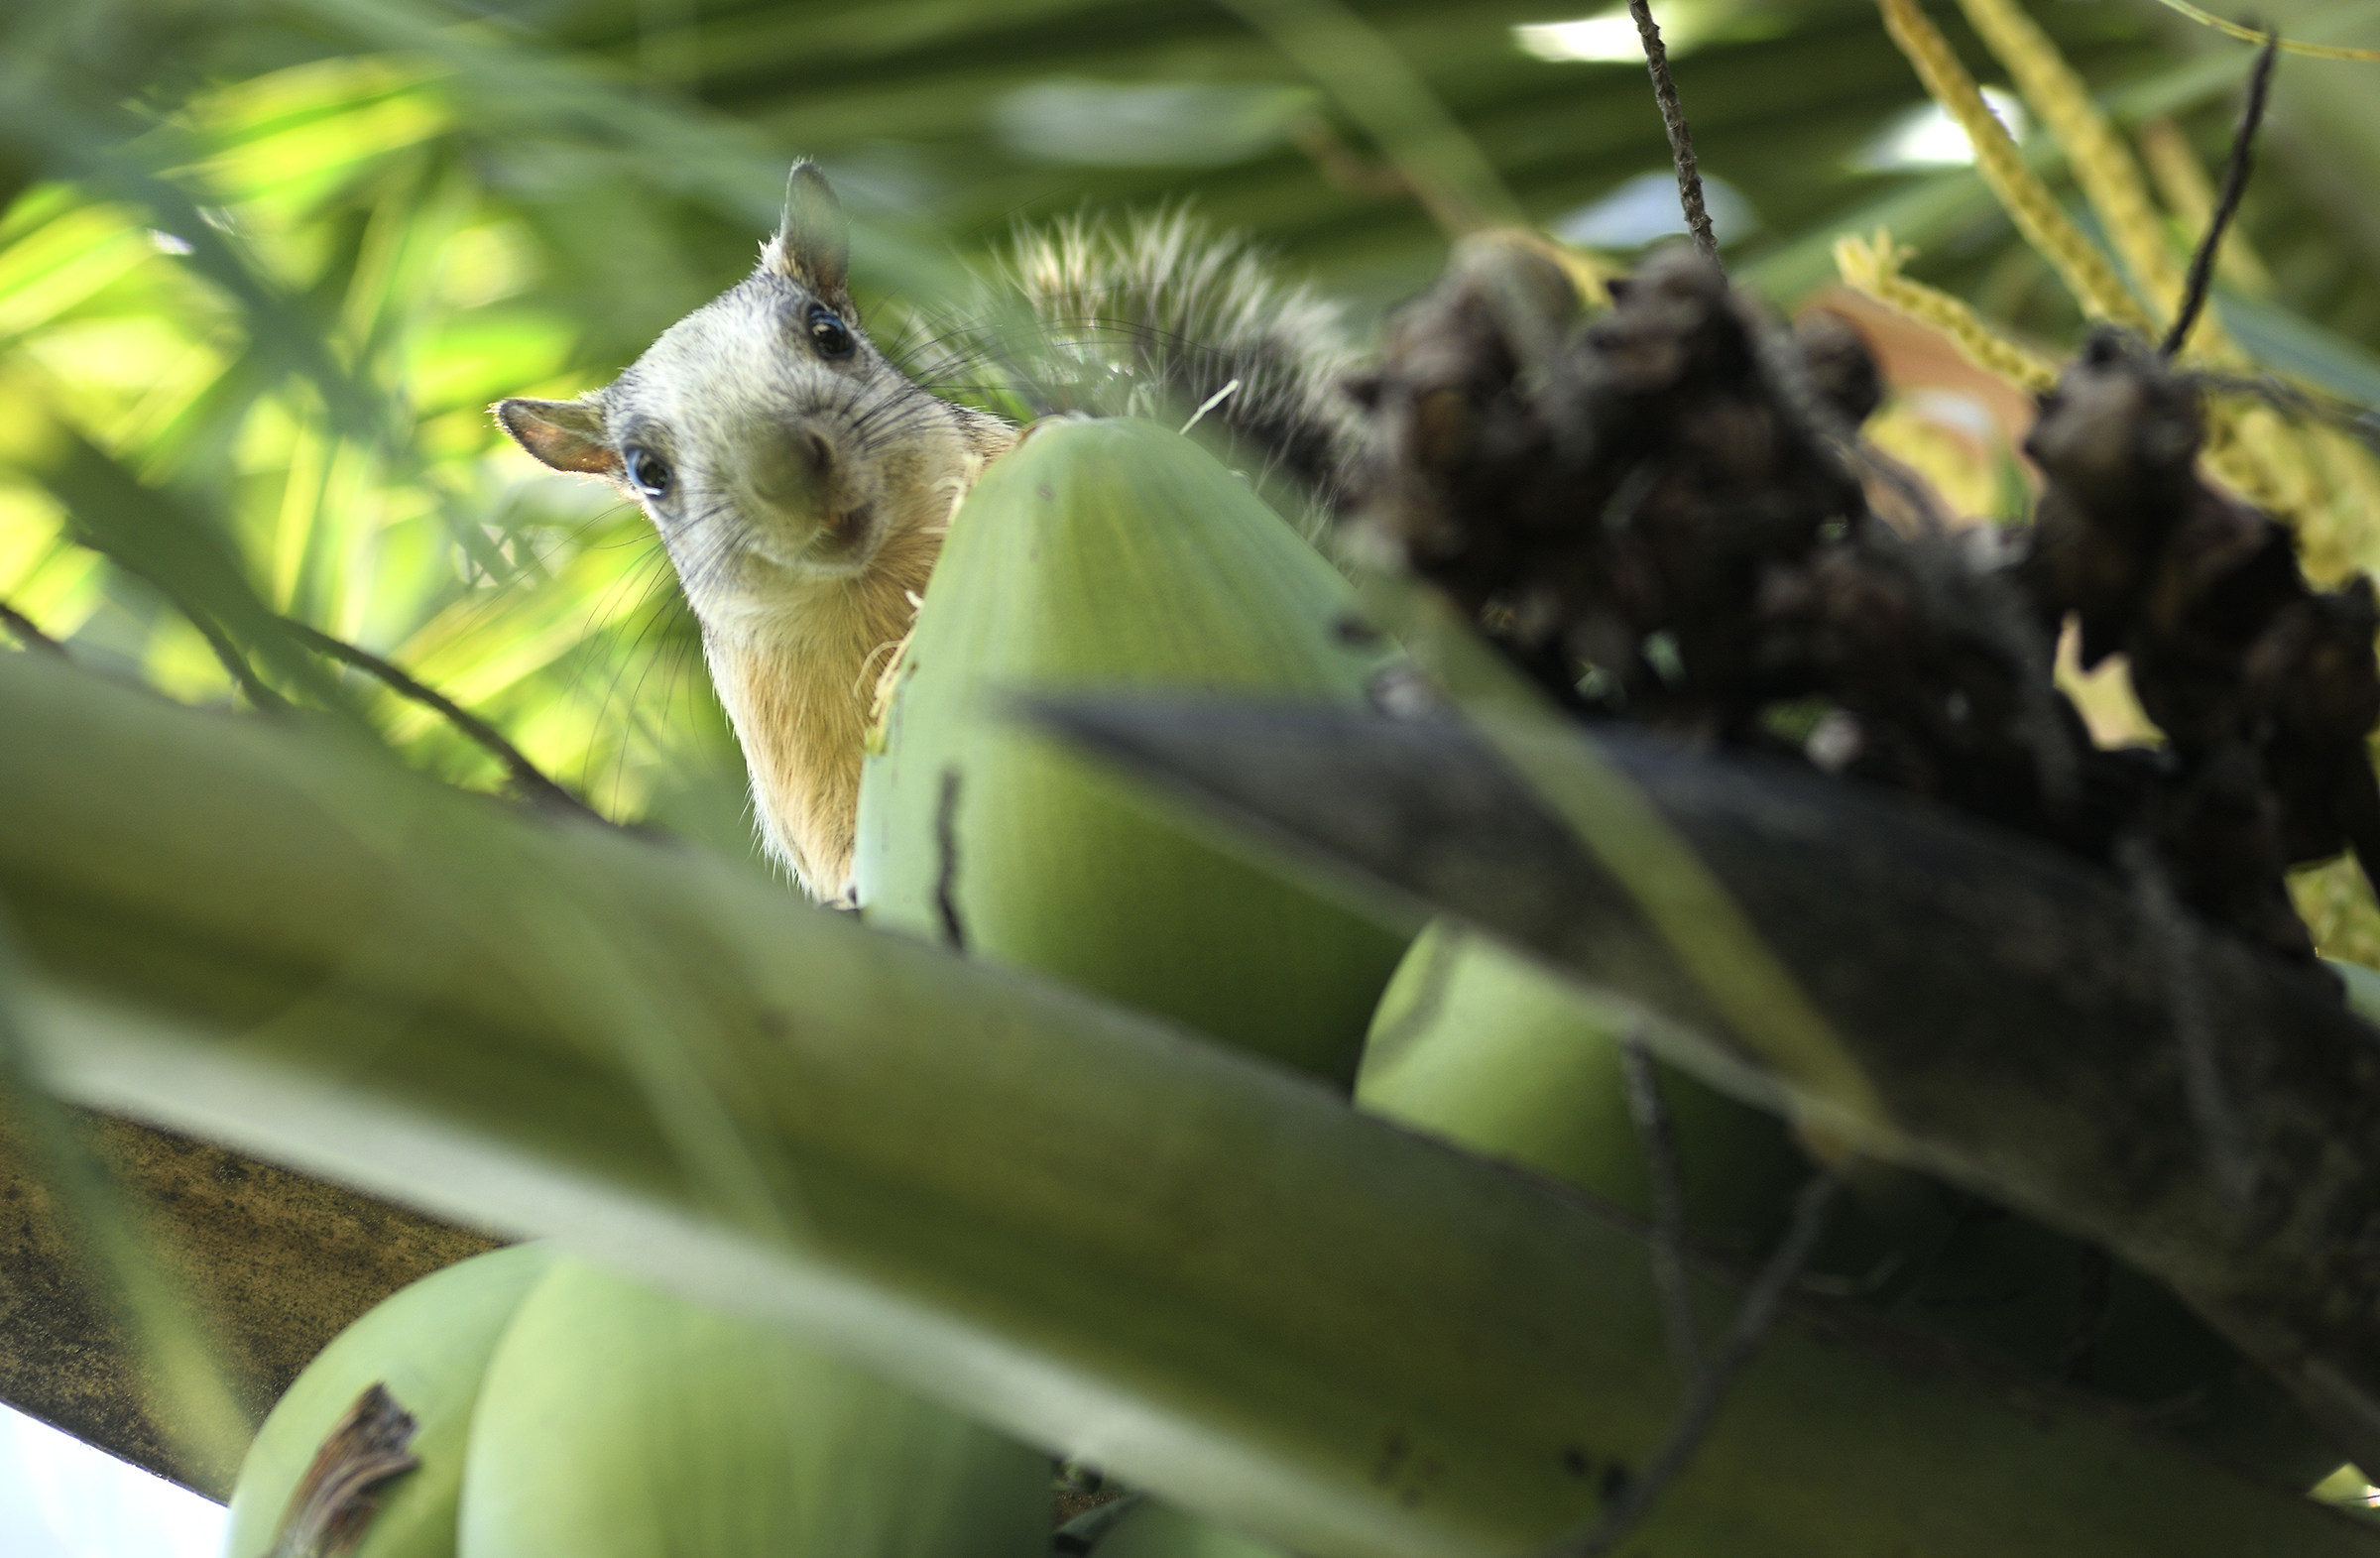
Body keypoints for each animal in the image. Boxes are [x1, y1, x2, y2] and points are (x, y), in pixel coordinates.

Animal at [495, 160, 1361, 900]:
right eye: (647, 470)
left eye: (831, 333)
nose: (783, 470)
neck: (877, 582)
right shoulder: (785, 741)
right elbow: (832, 837)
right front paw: (851, 888)